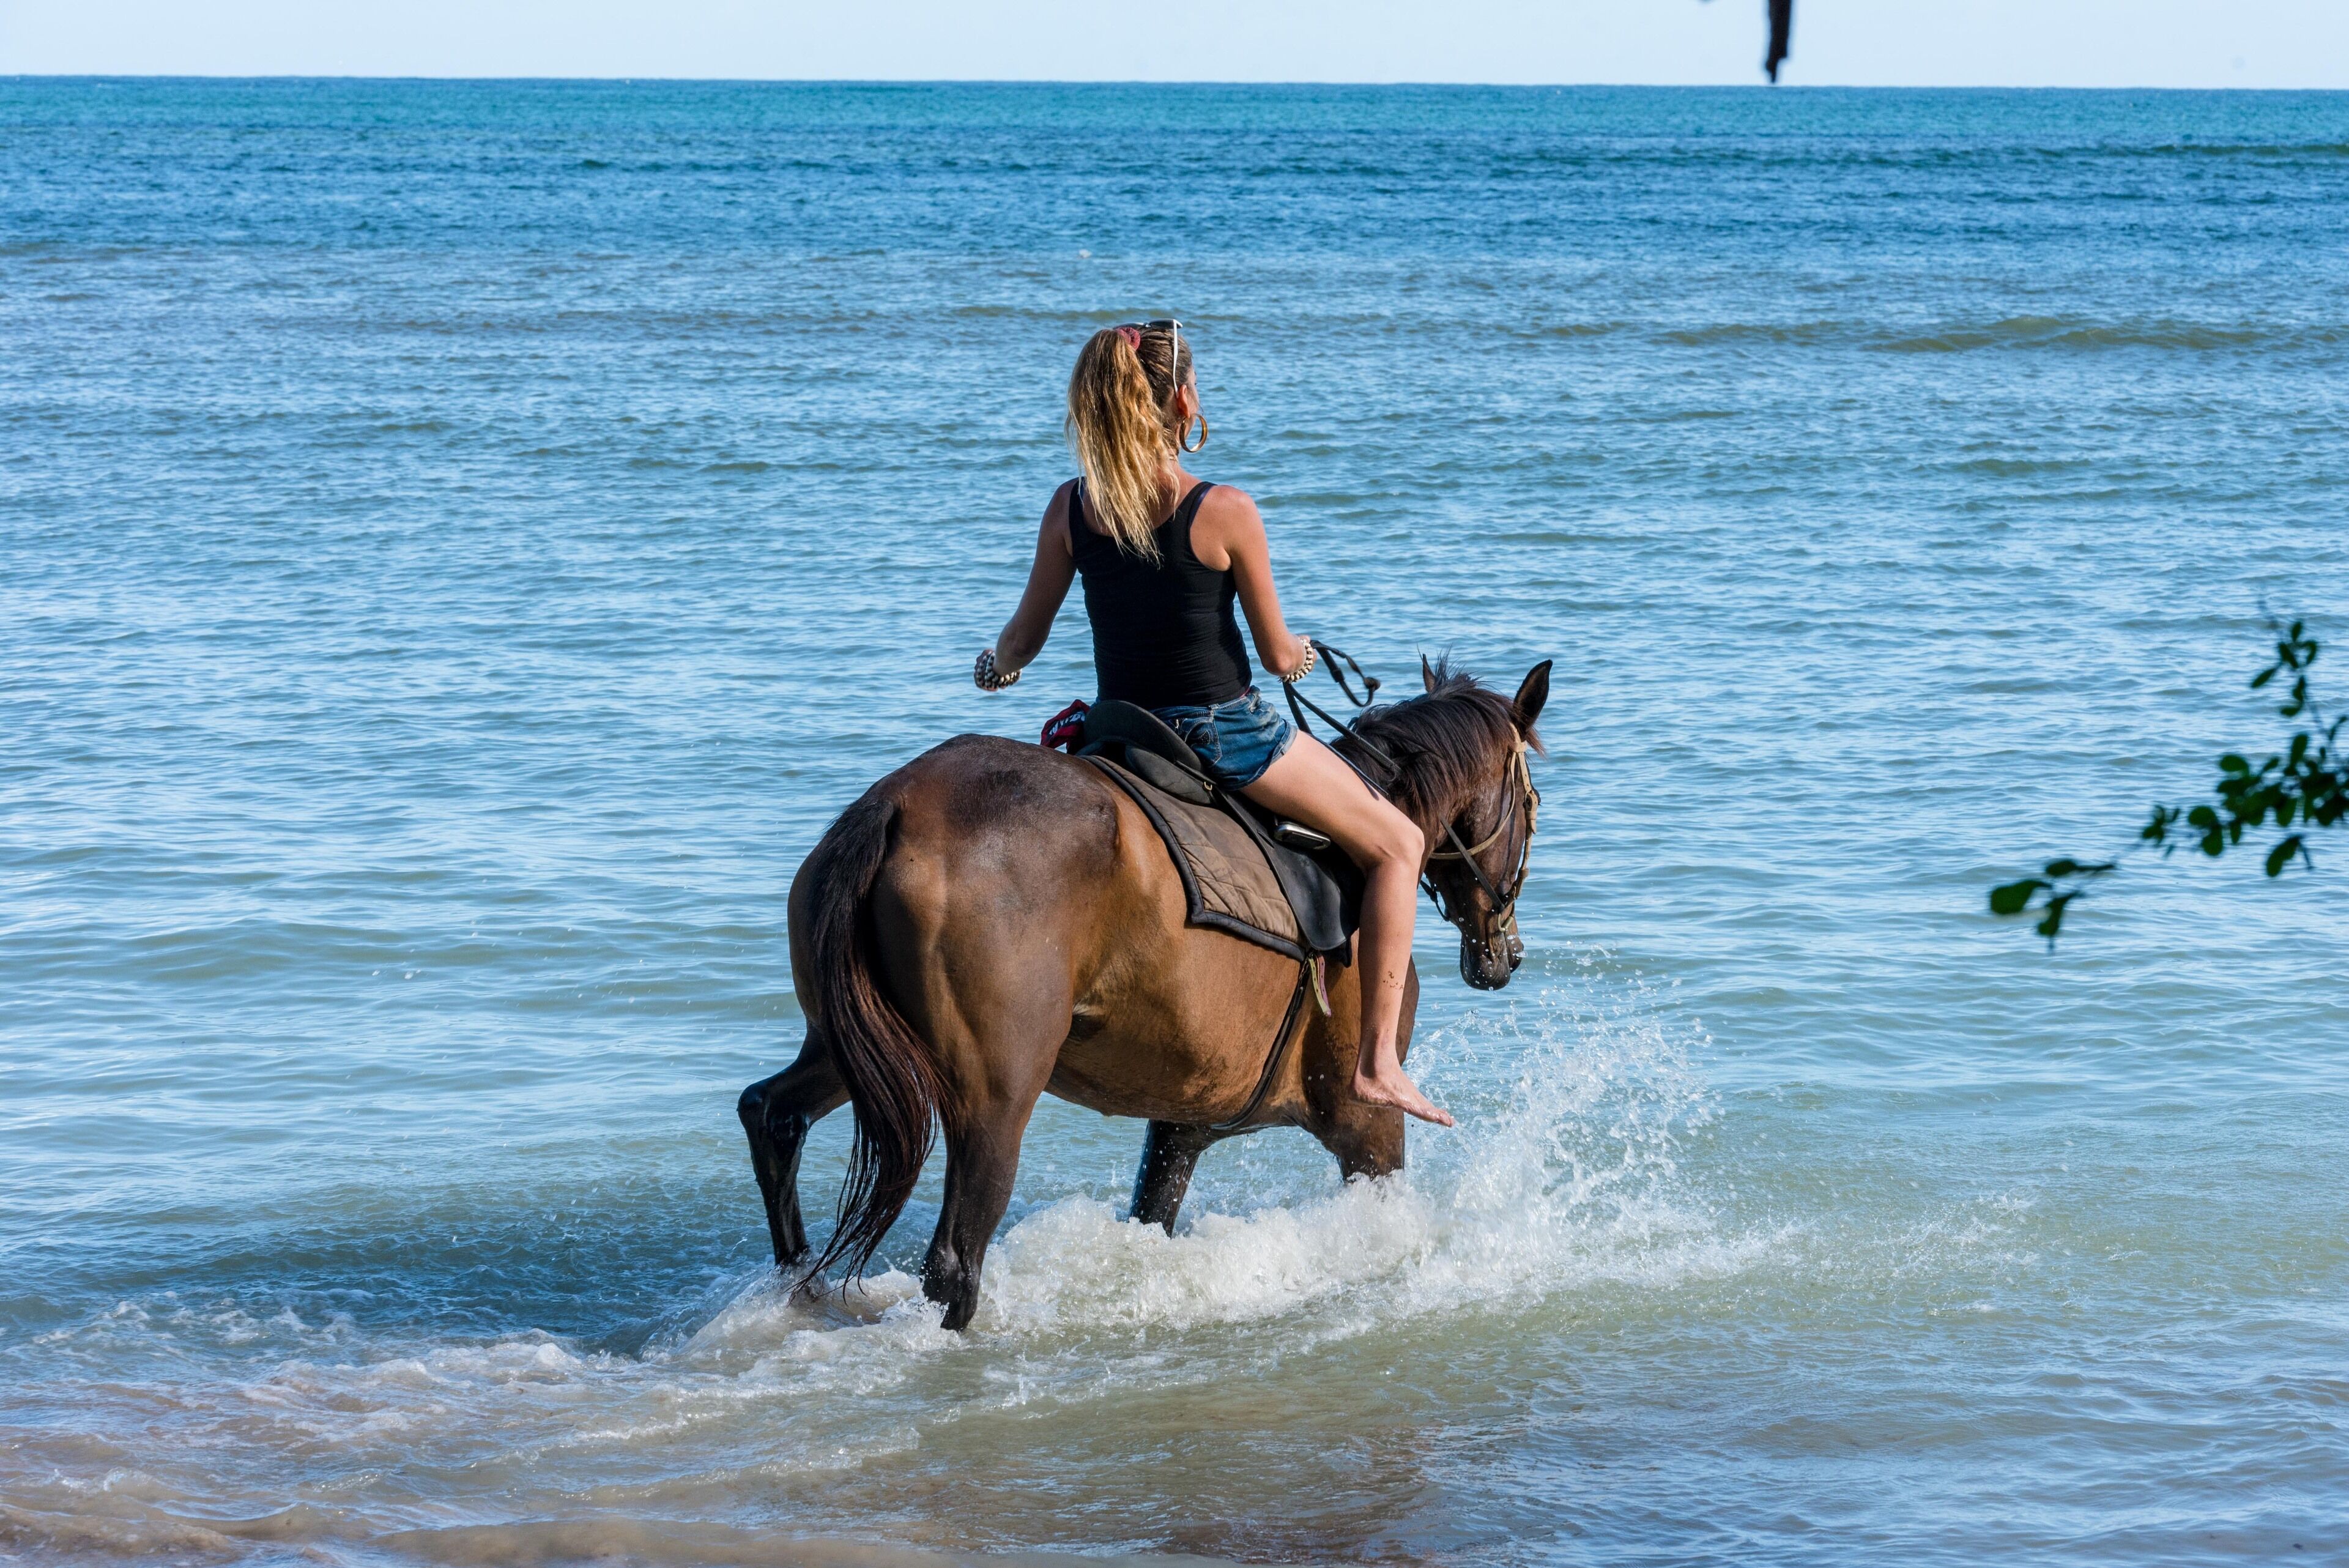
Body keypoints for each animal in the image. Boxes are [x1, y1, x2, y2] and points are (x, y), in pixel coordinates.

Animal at [737, 657, 1550, 1329]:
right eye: (1532, 804)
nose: (1505, 953)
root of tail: (896, 808)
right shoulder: (1368, 1123)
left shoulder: (1183, 1124)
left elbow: (1154, 1215)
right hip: (993, 1098)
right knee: (954, 1261)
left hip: (862, 1046)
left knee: (772, 1112)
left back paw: (796, 1282)